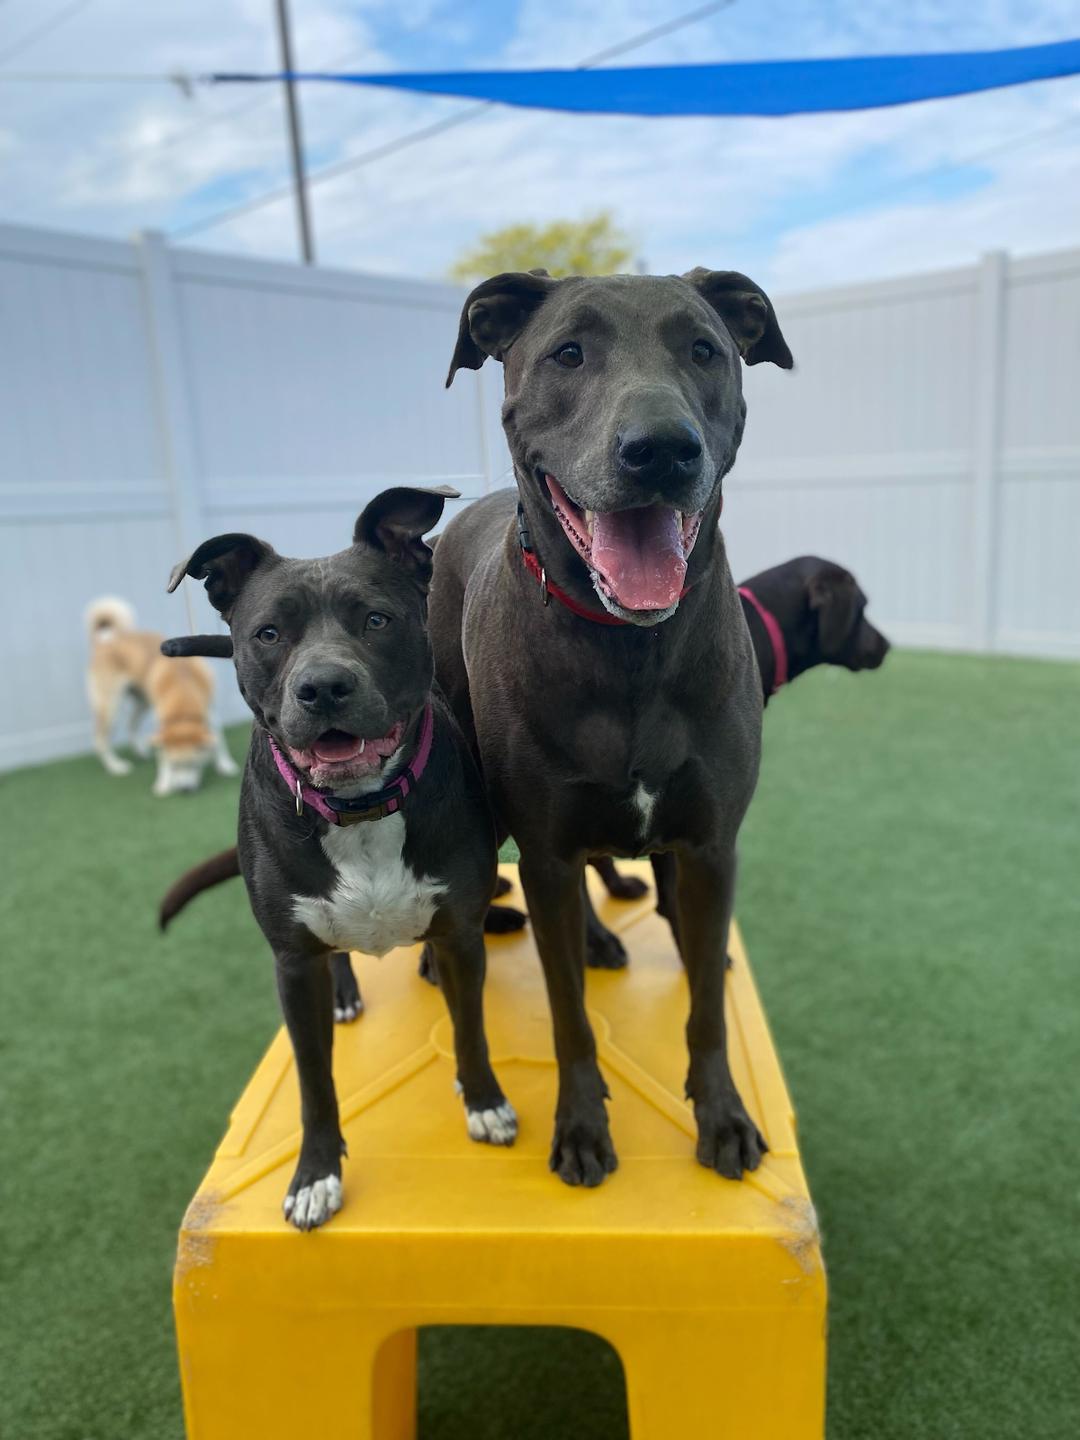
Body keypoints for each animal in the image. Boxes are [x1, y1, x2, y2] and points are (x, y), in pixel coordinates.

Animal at [85, 597, 237, 795]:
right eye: (174, 766)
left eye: (194, 764)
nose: (185, 789)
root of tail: (106, 639)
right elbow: (163, 754)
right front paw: (164, 783)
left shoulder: (211, 713)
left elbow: (219, 742)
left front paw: (225, 765)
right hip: (111, 707)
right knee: (100, 740)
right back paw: (116, 766)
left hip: (142, 701)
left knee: (131, 724)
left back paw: (141, 751)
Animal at [166, 486, 514, 1230]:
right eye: (269, 634)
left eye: (376, 619)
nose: (323, 686)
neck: (359, 809)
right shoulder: (293, 964)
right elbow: (313, 1081)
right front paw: (315, 1175)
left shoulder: (461, 934)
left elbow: (470, 1029)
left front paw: (485, 1102)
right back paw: (346, 991)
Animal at [426, 266, 794, 1187]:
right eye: (568, 353)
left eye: (704, 349)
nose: (661, 449)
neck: (631, 651)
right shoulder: (547, 850)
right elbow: (568, 1015)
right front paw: (583, 1125)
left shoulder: (709, 850)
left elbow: (707, 1003)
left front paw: (723, 1115)